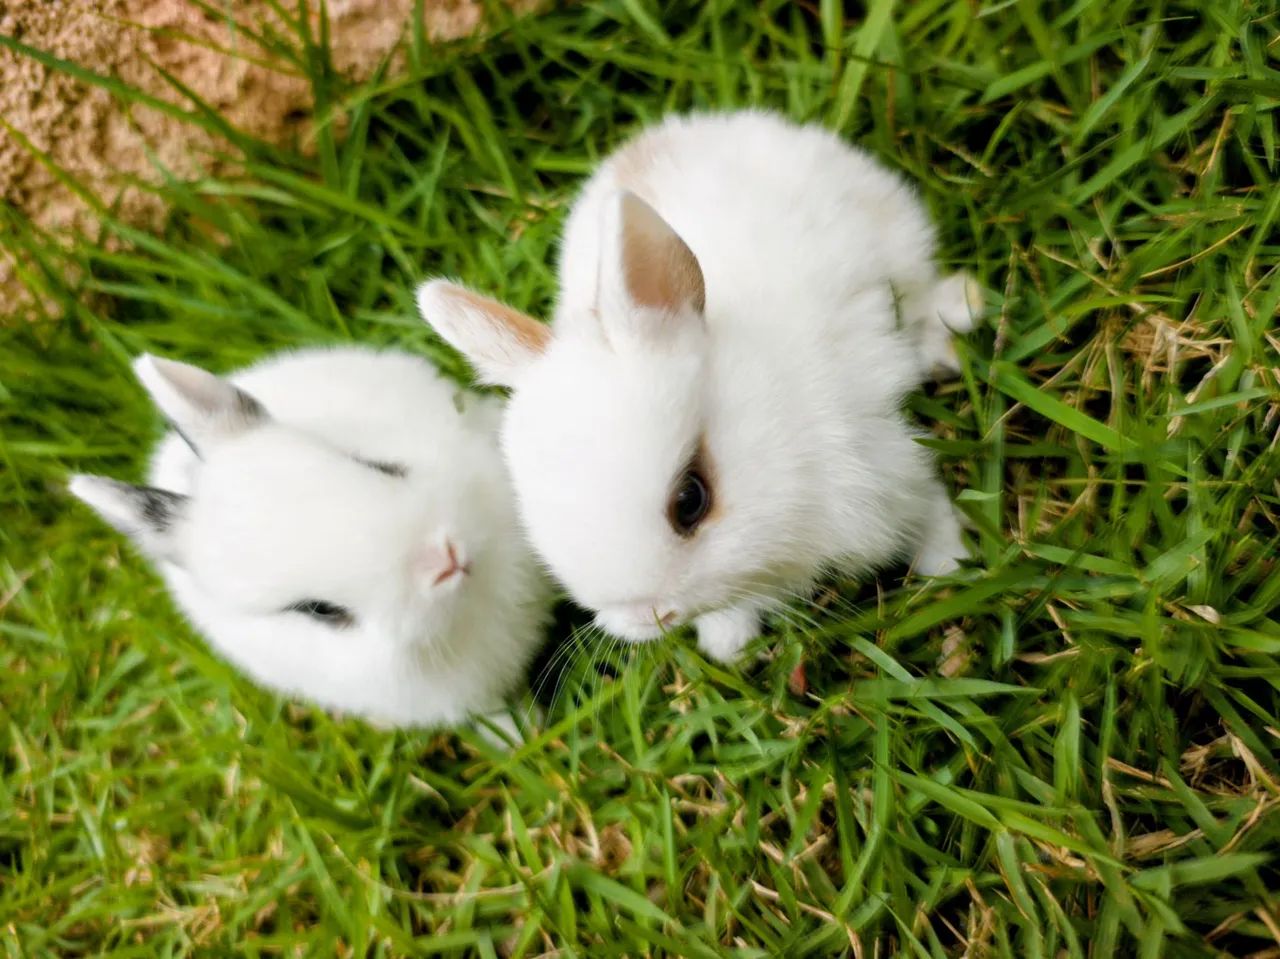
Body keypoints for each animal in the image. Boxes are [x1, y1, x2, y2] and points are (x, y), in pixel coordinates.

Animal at [416, 109, 982, 662]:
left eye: (690, 499)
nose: (650, 618)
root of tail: (688, 128)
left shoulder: (887, 460)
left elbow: (929, 507)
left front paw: (953, 565)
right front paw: (728, 645)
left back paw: (962, 315)